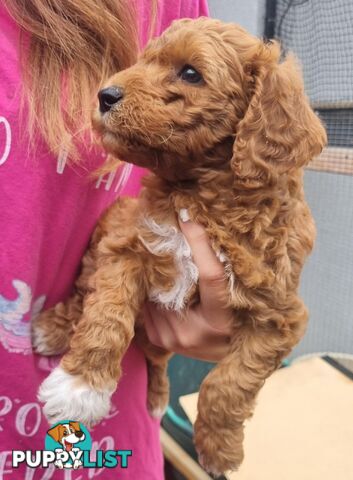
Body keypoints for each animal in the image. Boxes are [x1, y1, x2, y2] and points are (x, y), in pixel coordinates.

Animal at [34, 16, 326, 474]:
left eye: (190, 73)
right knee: (83, 297)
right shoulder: (128, 245)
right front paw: (80, 387)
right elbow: (106, 314)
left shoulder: (278, 315)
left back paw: (157, 398)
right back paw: (52, 328)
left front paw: (220, 448)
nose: (105, 95)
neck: (203, 195)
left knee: (156, 359)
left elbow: (230, 383)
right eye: (142, 62)